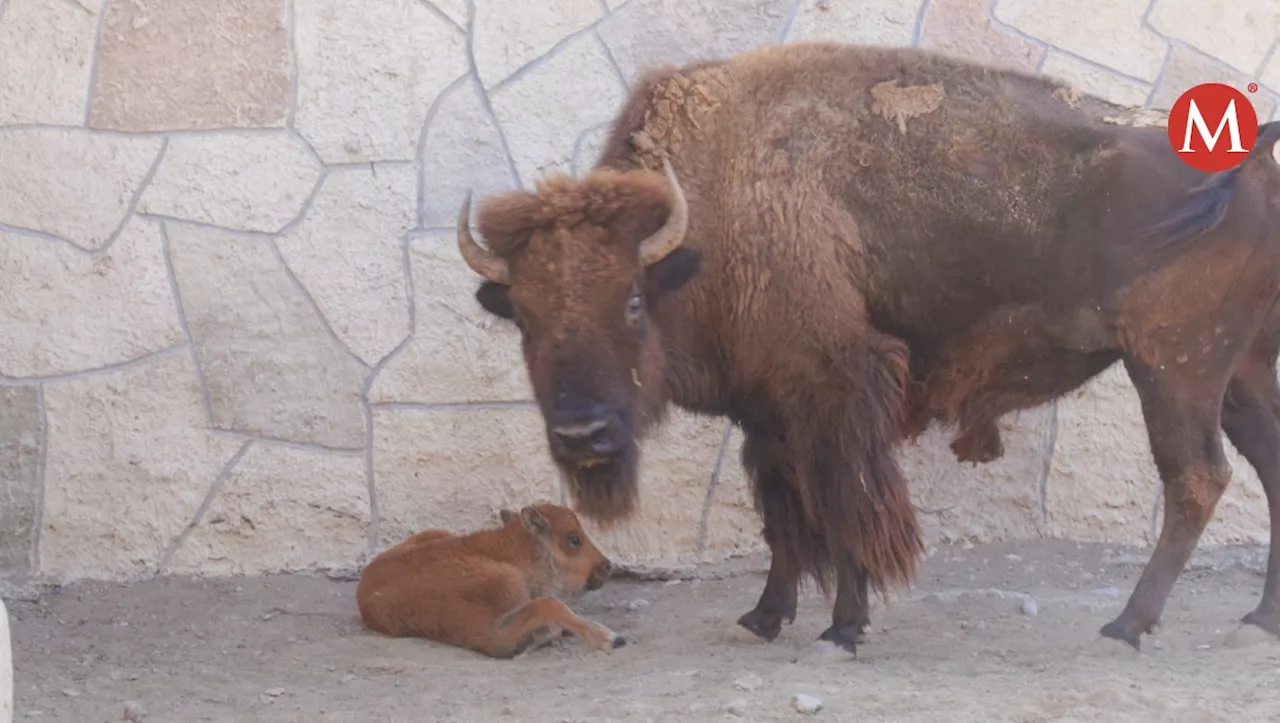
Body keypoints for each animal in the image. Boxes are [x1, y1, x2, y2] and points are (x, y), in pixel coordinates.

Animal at [355, 499, 624, 655]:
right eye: (574, 539)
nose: (607, 565)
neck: (511, 555)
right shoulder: (493, 635)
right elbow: (548, 605)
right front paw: (609, 638)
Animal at [455, 43, 1280, 655]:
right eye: (522, 315)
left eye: (630, 299)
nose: (583, 434)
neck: (711, 210)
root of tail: (1253, 161)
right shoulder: (768, 412)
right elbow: (784, 514)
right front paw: (764, 616)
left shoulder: (835, 390)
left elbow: (841, 504)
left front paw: (843, 627)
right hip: (1237, 373)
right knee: (1265, 468)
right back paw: (1257, 619)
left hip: (1173, 367)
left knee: (1196, 478)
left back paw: (1127, 624)